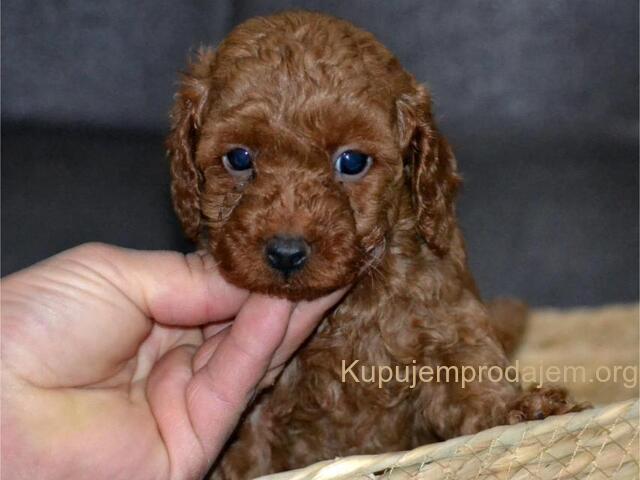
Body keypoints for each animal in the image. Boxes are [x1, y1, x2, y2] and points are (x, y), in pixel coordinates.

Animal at [167, 11, 584, 479]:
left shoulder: (448, 328)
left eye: (352, 162)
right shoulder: (254, 417)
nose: (286, 253)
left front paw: (521, 411)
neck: (350, 308)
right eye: (238, 158)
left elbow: (473, 384)